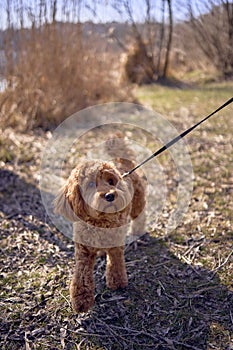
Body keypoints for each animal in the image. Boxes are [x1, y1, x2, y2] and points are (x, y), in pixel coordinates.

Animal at [53, 133, 147, 312]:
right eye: (90, 184)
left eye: (111, 181)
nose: (110, 195)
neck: (100, 220)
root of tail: (122, 161)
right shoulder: (83, 251)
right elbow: (82, 274)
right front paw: (81, 299)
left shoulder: (116, 245)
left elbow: (116, 263)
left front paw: (117, 282)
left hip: (137, 202)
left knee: (140, 216)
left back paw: (137, 232)